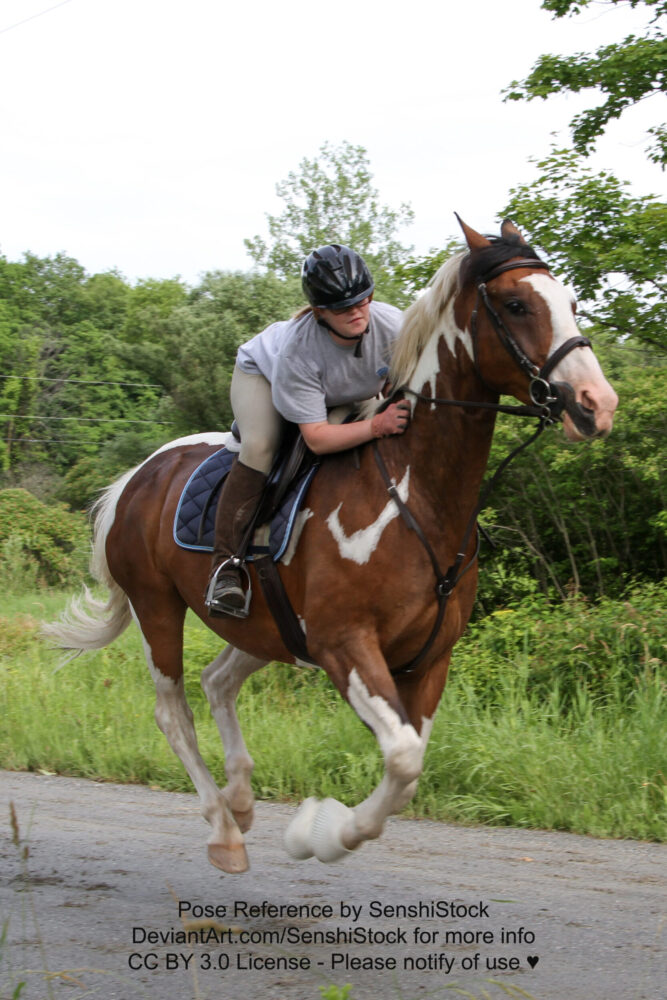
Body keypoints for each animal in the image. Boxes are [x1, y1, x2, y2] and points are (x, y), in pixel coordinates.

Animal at [43, 218, 618, 874]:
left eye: (569, 302)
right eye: (517, 304)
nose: (596, 404)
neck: (414, 494)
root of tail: (137, 477)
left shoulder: (428, 660)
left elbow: (409, 763)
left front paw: (320, 827)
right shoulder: (344, 645)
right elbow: (403, 758)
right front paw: (320, 834)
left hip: (269, 627)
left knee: (218, 681)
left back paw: (241, 798)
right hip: (157, 605)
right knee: (174, 711)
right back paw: (224, 829)